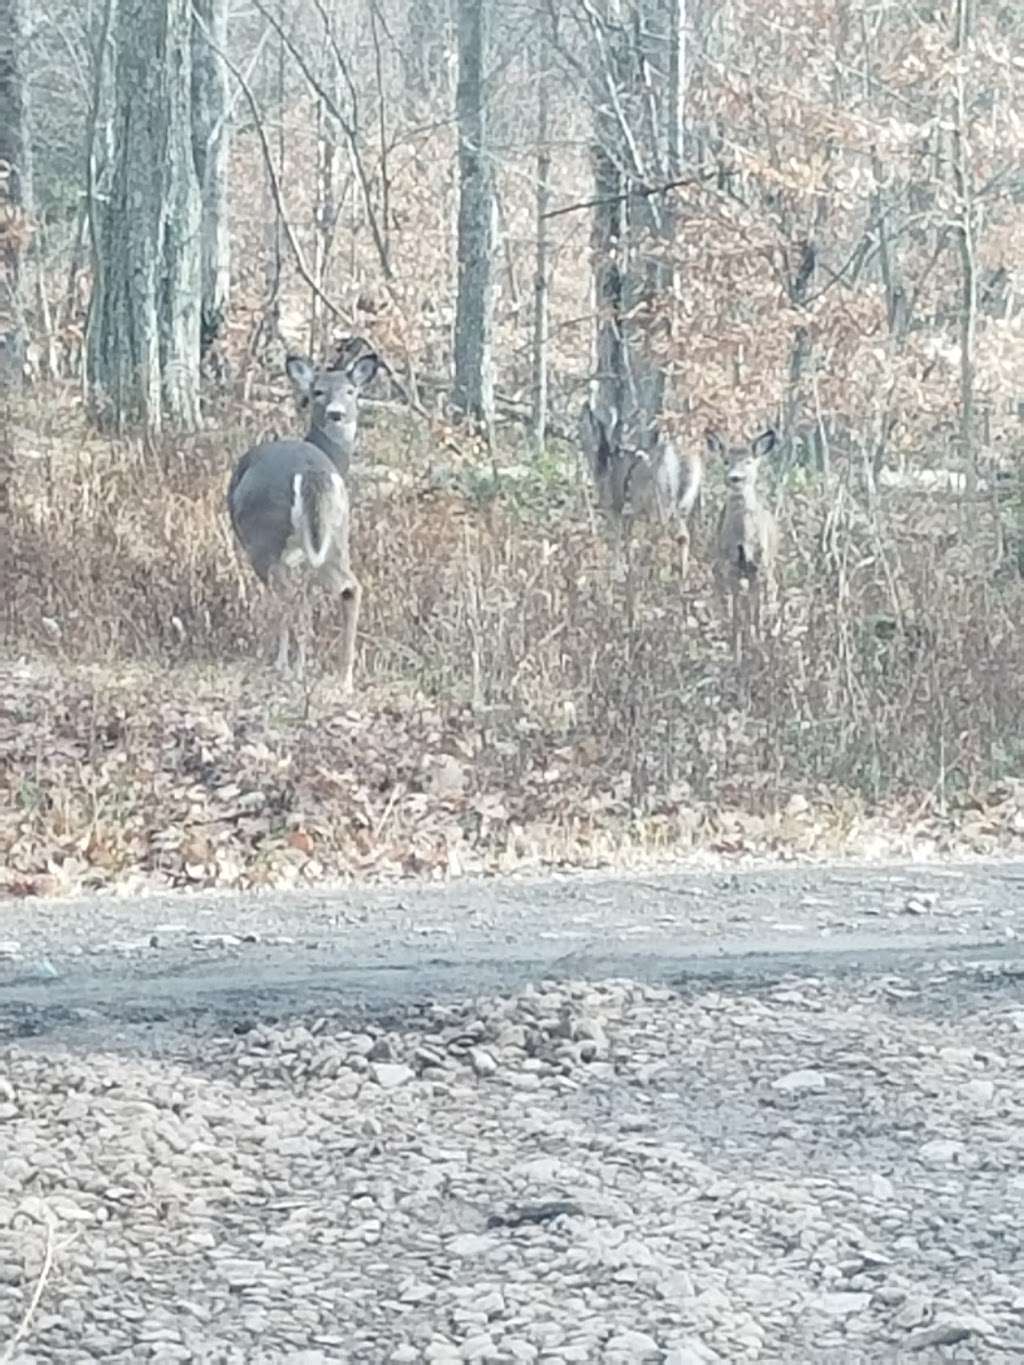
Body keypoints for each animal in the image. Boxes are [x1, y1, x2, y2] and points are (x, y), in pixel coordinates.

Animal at [228, 346, 382, 687]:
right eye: (318, 391)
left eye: (351, 391)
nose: (336, 413)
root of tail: (312, 473)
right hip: (337, 533)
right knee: (350, 586)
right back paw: (344, 677)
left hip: (265, 536)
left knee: (283, 593)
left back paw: (281, 664)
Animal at [581, 401, 704, 578]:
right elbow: (626, 537)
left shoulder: (615, 506)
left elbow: (618, 537)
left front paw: (618, 571)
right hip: (683, 502)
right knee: (683, 535)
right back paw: (682, 575)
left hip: (661, 499)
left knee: (666, 532)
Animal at [709, 425, 780, 660]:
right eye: (725, 461)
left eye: (748, 461)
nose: (735, 478)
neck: (743, 538)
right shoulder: (731, 565)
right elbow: (737, 615)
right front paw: (737, 653)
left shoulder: (758, 565)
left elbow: (755, 613)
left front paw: (759, 649)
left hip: (768, 568)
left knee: (769, 594)